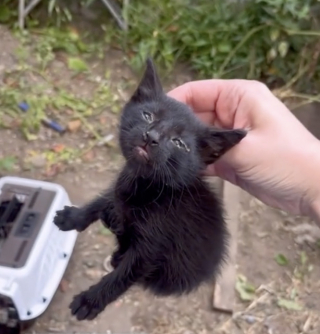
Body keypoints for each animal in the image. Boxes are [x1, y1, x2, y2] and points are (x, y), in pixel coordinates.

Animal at [53, 59, 246, 320]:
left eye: (179, 143)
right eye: (148, 115)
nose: (151, 136)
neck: (147, 186)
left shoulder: (151, 248)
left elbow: (123, 276)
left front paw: (91, 300)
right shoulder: (120, 188)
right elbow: (104, 199)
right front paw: (74, 216)